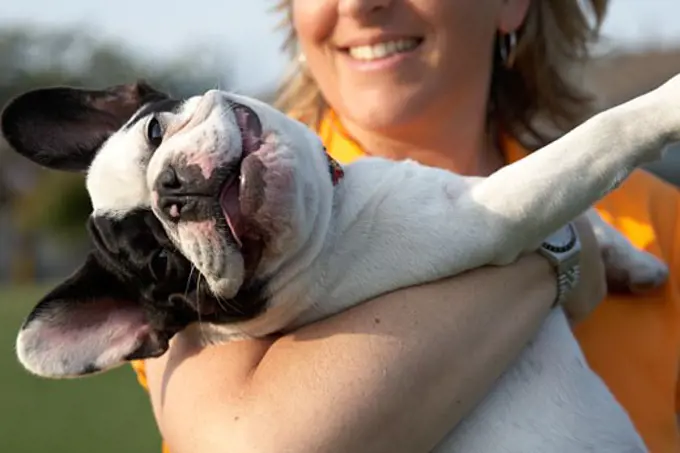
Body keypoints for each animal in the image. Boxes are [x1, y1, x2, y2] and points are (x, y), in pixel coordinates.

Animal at [2, 76, 676, 450]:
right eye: (164, 266)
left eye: (154, 132)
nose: (172, 189)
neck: (330, 217)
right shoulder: (485, 210)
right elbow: (591, 141)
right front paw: (666, 104)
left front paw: (632, 262)